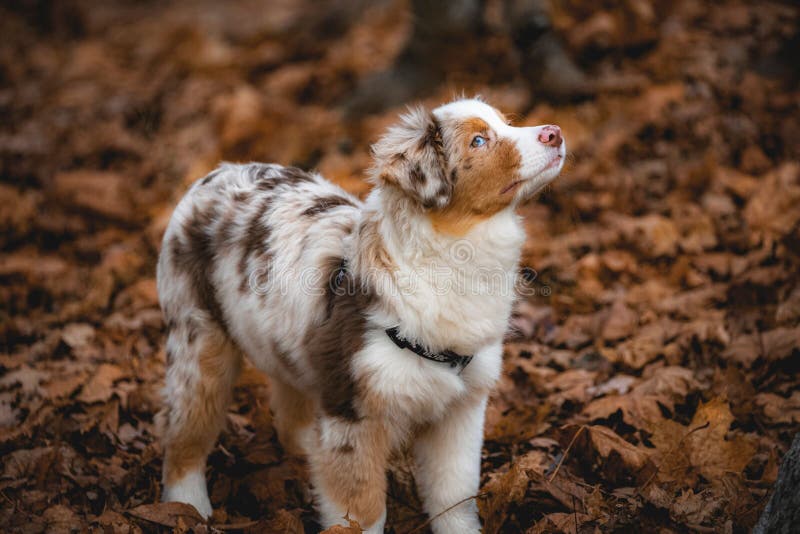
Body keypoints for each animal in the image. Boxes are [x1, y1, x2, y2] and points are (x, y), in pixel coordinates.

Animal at [156, 98, 564, 532]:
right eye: (479, 141)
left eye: (506, 123)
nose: (555, 132)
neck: (453, 252)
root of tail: (211, 175)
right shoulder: (353, 411)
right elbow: (363, 510)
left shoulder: (462, 409)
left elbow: (455, 494)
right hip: (197, 341)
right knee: (186, 430)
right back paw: (188, 507)